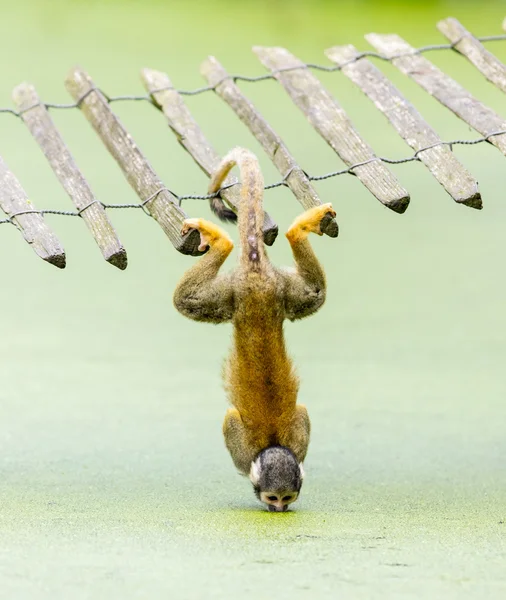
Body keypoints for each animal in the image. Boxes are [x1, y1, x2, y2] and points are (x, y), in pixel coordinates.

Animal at [172, 146, 334, 510]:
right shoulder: (245, 449)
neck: (272, 443)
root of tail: (257, 274)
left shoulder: (295, 440)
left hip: (275, 290)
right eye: (273, 497)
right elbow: (229, 422)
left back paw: (287, 233)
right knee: (185, 302)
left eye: (287, 497)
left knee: (315, 295)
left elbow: (301, 413)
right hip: (239, 294)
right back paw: (232, 241)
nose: (279, 510)